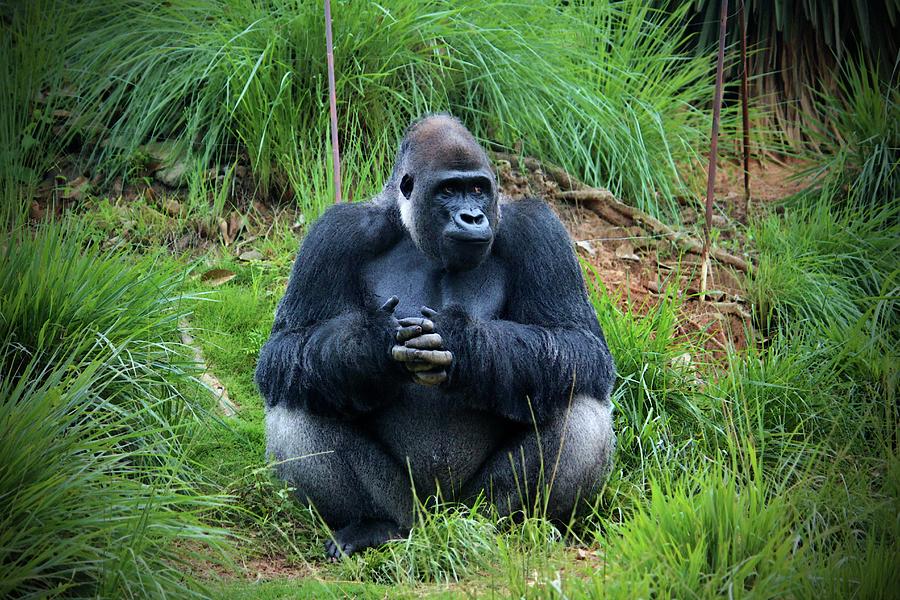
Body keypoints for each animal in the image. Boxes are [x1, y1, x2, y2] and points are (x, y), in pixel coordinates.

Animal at [256, 112, 616, 556]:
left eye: (477, 189)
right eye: (449, 191)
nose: (473, 217)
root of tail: (437, 522)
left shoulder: (539, 229)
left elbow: (579, 344)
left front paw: (465, 342)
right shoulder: (335, 233)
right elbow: (284, 349)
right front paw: (367, 348)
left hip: (473, 507)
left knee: (579, 406)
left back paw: (520, 526)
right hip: (410, 507)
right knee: (297, 400)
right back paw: (373, 525)